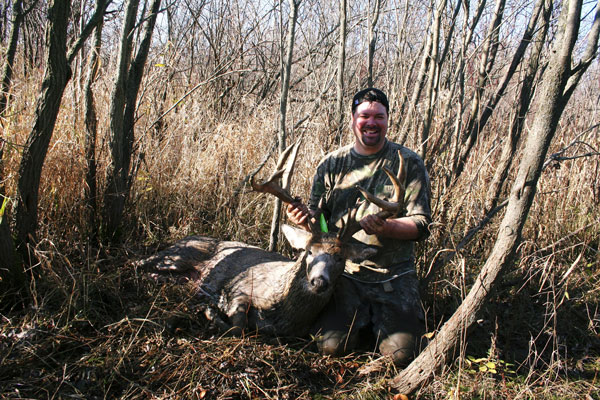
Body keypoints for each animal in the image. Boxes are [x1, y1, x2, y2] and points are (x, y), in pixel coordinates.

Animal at [138, 142, 406, 336]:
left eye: (340, 258)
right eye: (308, 252)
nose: (319, 281)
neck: (280, 308)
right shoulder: (242, 287)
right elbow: (238, 326)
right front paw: (213, 311)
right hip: (178, 256)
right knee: (139, 263)